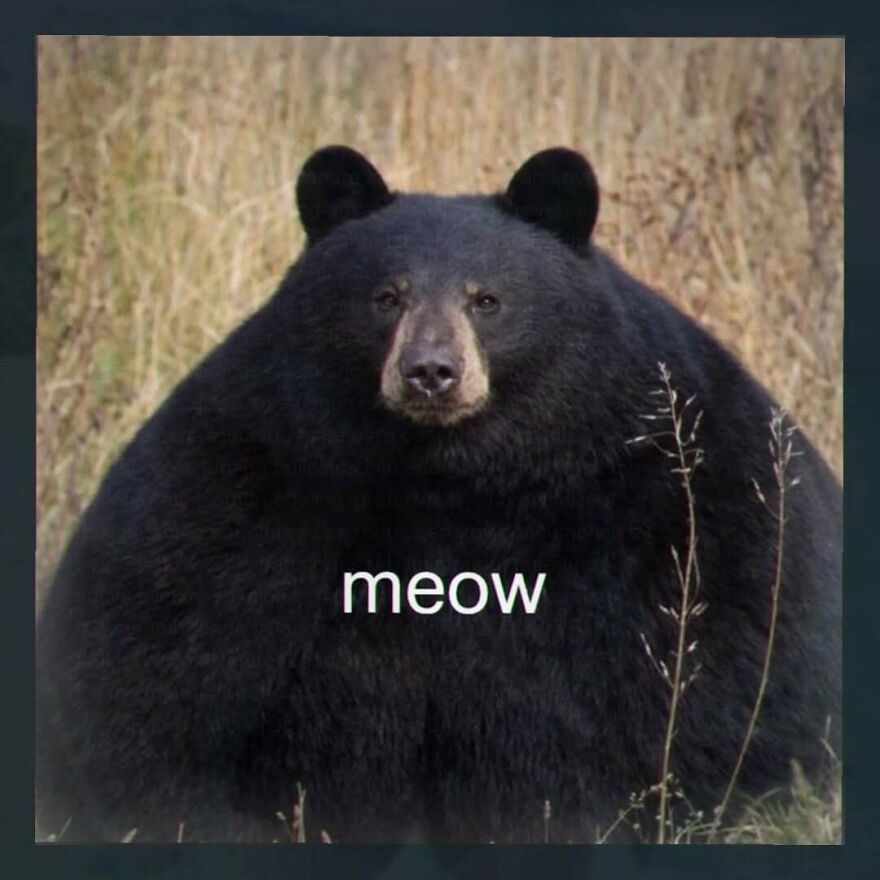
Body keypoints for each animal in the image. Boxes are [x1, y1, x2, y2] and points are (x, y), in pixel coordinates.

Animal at [36, 146, 841, 844]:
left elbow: (719, 656)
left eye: (487, 299)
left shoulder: (669, 488)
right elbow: (158, 652)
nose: (430, 370)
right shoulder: (249, 476)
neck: (449, 482)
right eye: (385, 296)